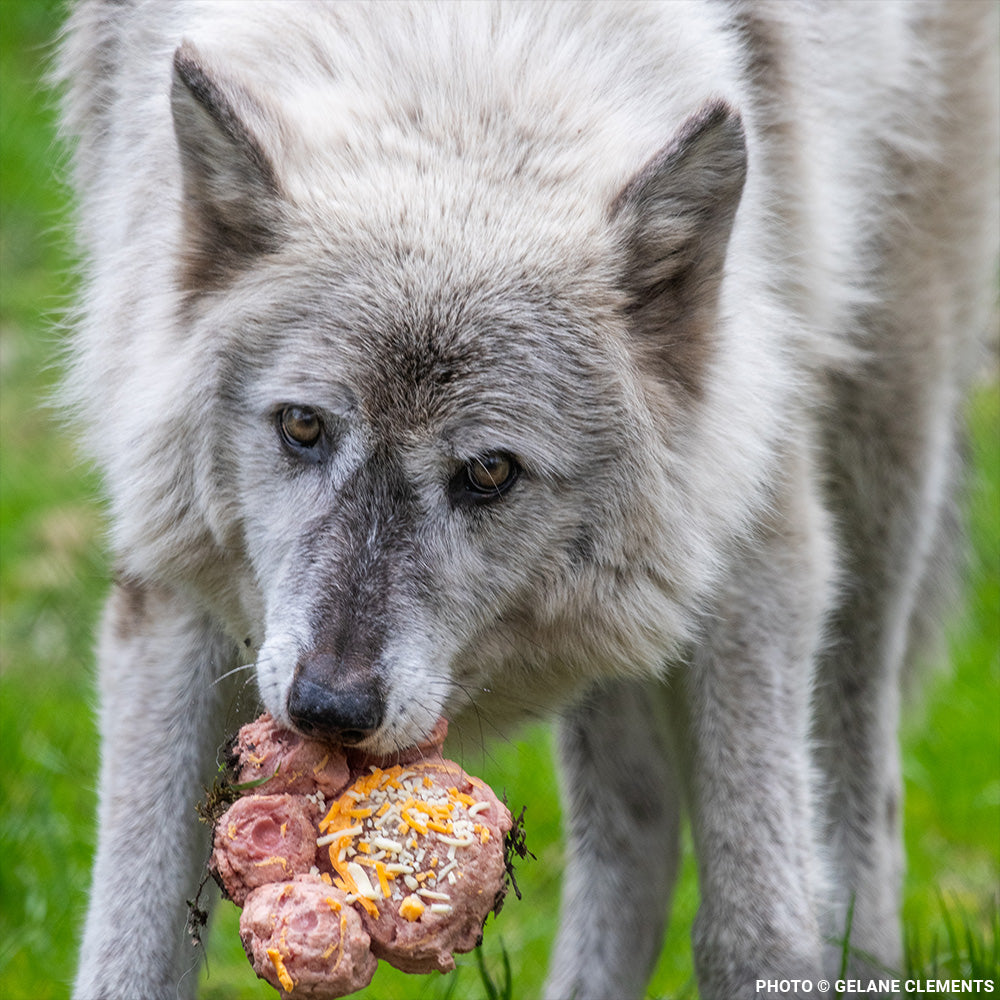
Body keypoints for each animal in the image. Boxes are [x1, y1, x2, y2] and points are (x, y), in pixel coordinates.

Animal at [56, 1, 997, 998]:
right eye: (303, 426)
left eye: (489, 471)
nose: (329, 710)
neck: (455, 58)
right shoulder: (172, 581)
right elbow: (131, 942)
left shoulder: (755, 544)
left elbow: (756, 931)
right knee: (637, 823)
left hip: (883, 433)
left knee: (867, 799)